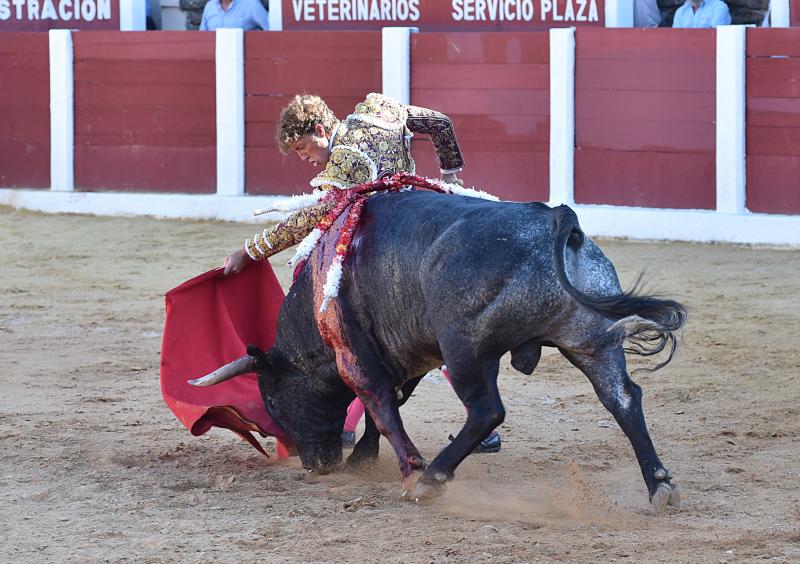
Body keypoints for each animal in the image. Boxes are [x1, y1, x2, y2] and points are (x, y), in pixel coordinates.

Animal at [194, 189, 688, 512]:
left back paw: (430, 479)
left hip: (467, 349)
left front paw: (408, 468)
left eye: (273, 401)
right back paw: (660, 484)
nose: (314, 464)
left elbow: (381, 408)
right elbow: (386, 407)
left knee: (486, 410)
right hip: (592, 342)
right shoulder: (404, 356)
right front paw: (364, 457)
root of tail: (556, 220)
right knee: (622, 399)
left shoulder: (355, 358)